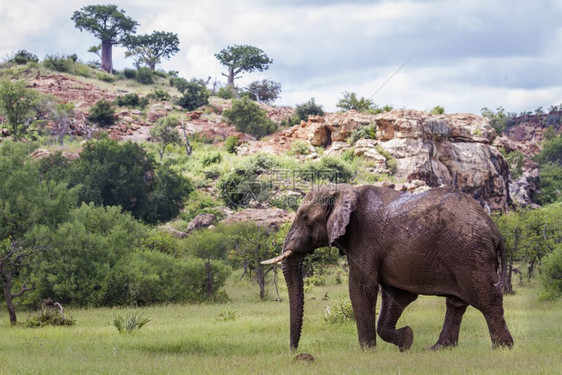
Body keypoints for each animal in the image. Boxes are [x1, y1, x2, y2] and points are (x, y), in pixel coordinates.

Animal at [262, 185, 512, 352]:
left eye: (304, 218)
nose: (294, 351)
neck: (344, 191)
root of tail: (494, 229)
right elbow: (397, 297)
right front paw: (406, 340)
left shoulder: (363, 240)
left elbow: (362, 288)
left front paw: (368, 351)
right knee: (456, 303)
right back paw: (439, 349)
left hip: (470, 254)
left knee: (486, 298)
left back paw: (503, 348)